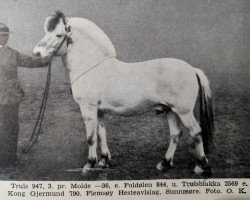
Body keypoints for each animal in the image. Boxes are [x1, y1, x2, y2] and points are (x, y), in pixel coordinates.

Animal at [33, 10, 215, 177]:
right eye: (46, 32)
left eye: (58, 34)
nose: (37, 53)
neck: (92, 66)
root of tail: (192, 69)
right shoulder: (99, 111)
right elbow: (101, 134)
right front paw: (104, 161)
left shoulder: (88, 108)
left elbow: (91, 137)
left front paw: (89, 165)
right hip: (170, 110)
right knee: (176, 134)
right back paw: (164, 163)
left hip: (184, 112)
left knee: (196, 132)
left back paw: (201, 167)